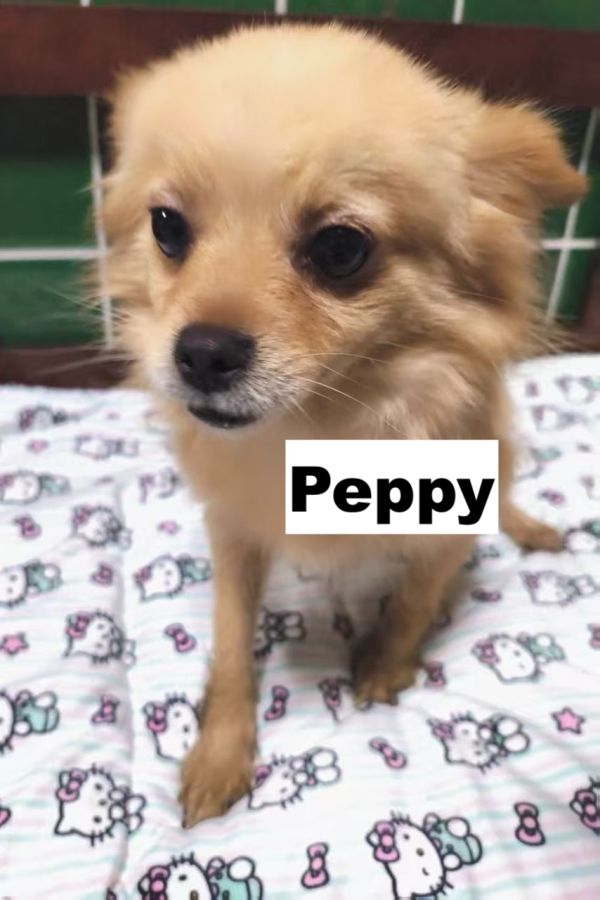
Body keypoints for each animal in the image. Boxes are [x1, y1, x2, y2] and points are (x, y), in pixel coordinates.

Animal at [102, 23, 585, 827]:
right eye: (167, 228)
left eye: (339, 249)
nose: (201, 351)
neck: (320, 426)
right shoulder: (233, 531)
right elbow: (231, 642)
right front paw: (219, 750)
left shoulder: (446, 534)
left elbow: (414, 601)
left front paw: (385, 667)